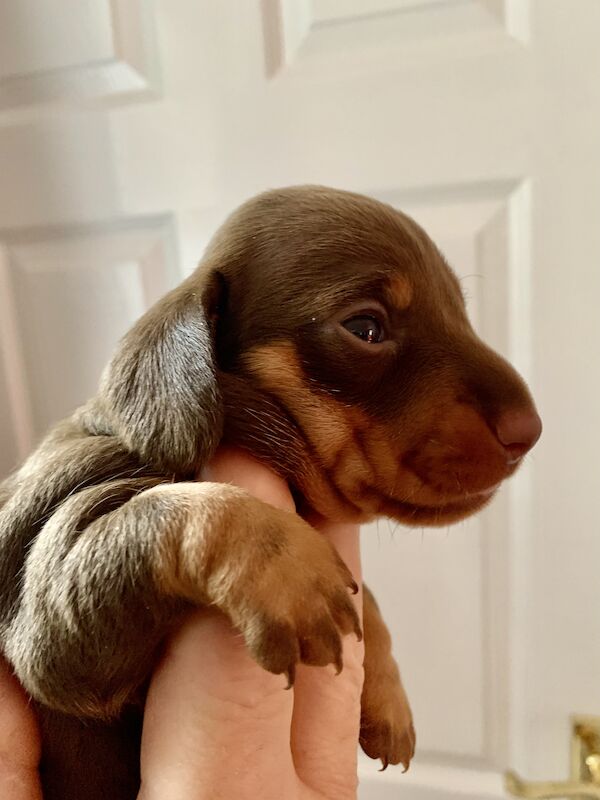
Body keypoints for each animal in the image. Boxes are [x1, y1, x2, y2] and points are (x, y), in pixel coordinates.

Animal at [0, 186, 540, 800]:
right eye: (365, 327)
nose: (531, 430)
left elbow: (367, 599)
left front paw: (386, 691)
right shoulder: (53, 632)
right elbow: (181, 510)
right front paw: (291, 574)